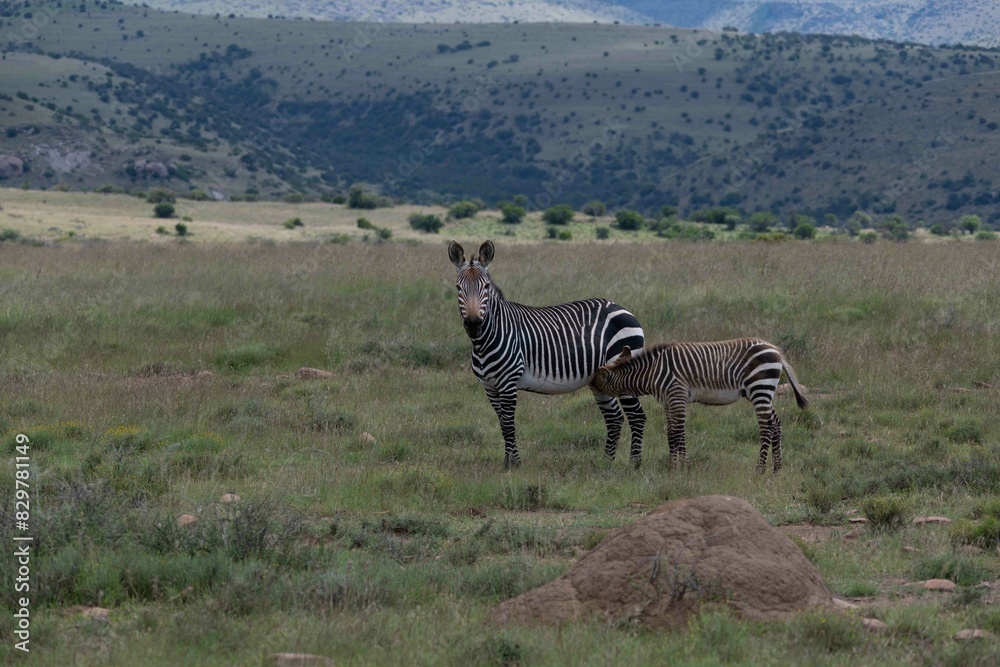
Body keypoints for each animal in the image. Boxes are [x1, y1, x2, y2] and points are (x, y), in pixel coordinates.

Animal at [448, 239, 647, 469]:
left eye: (486, 287)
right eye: (458, 288)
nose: (473, 325)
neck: (485, 341)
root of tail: (623, 308)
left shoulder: (508, 383)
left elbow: (508, 424)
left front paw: (513, 464)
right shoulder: (489, 387)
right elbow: (502, 423)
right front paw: (509, 461)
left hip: (622, 370)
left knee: (637, 416)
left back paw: (634, 464)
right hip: (599, 379)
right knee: (614, 417)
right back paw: (605, 463)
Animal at [591, 338, 809, 472]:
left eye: (595, 382)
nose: (589, 386)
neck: (652, 373)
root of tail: (775, 350)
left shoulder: (677, 395)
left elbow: (679, 432)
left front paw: (685, 467)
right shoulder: (668, 400)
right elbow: (671, 432)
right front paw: (673, 466)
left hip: (760, 388)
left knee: (765, 428)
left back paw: (760, 469)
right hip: (760, 392)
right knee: (775, 423)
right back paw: (776, 468)